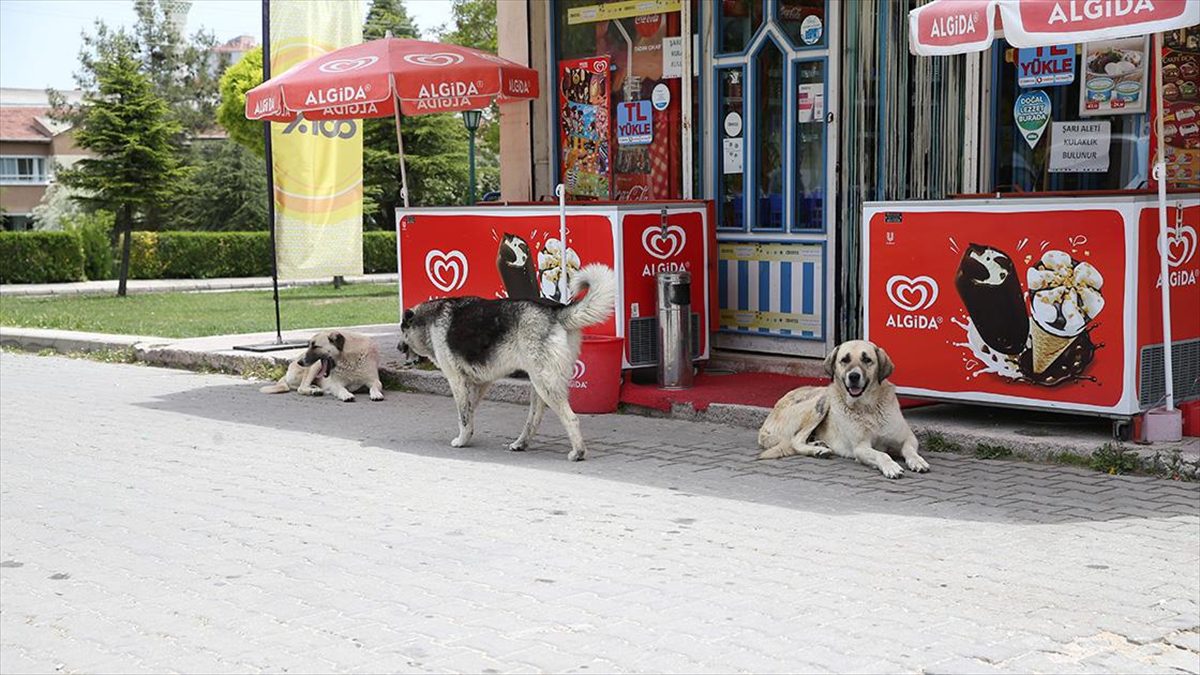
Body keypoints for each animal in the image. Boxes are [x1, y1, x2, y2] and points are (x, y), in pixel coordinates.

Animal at [398, 261, 614, 456]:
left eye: (402, 330)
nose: (399, 347)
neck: (428, 322)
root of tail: (556, 309)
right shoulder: (480, 383)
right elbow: (469, 413)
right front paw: (467, 436)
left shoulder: (457, 381)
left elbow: (464, 416)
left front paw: (461, 440)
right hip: (539, 385)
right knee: (533, 419)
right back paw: (521, 444)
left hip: (546, 384)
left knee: (571, 418)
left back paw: (578, 452)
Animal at [758, 338, 926, 475]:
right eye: (845, 360)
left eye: (867, 359)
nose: (854, 376)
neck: (868, 408)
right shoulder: (861, 448)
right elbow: (882, 454)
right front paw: (891, 466)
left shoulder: (908, 438)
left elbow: (909, 450)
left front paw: (917, 461)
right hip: (823, 401)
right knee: (795, 440)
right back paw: (818, 450)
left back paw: (818, 443)